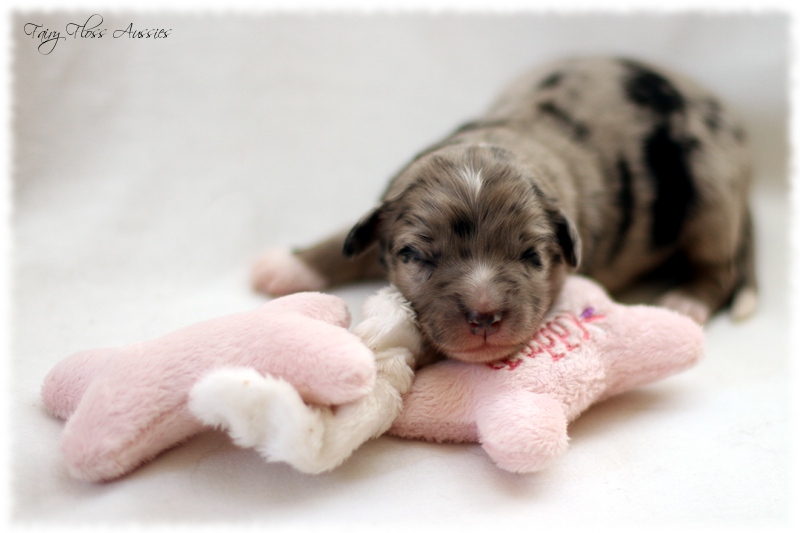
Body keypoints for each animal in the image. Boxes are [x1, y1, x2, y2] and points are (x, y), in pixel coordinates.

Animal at [252, 58, 756, 364]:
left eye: (531, 257)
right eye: (417, 257)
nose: (485, 317)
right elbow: (350, 237)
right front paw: (291, 265)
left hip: (711, 197)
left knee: (721, 268)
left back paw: (685, 300)